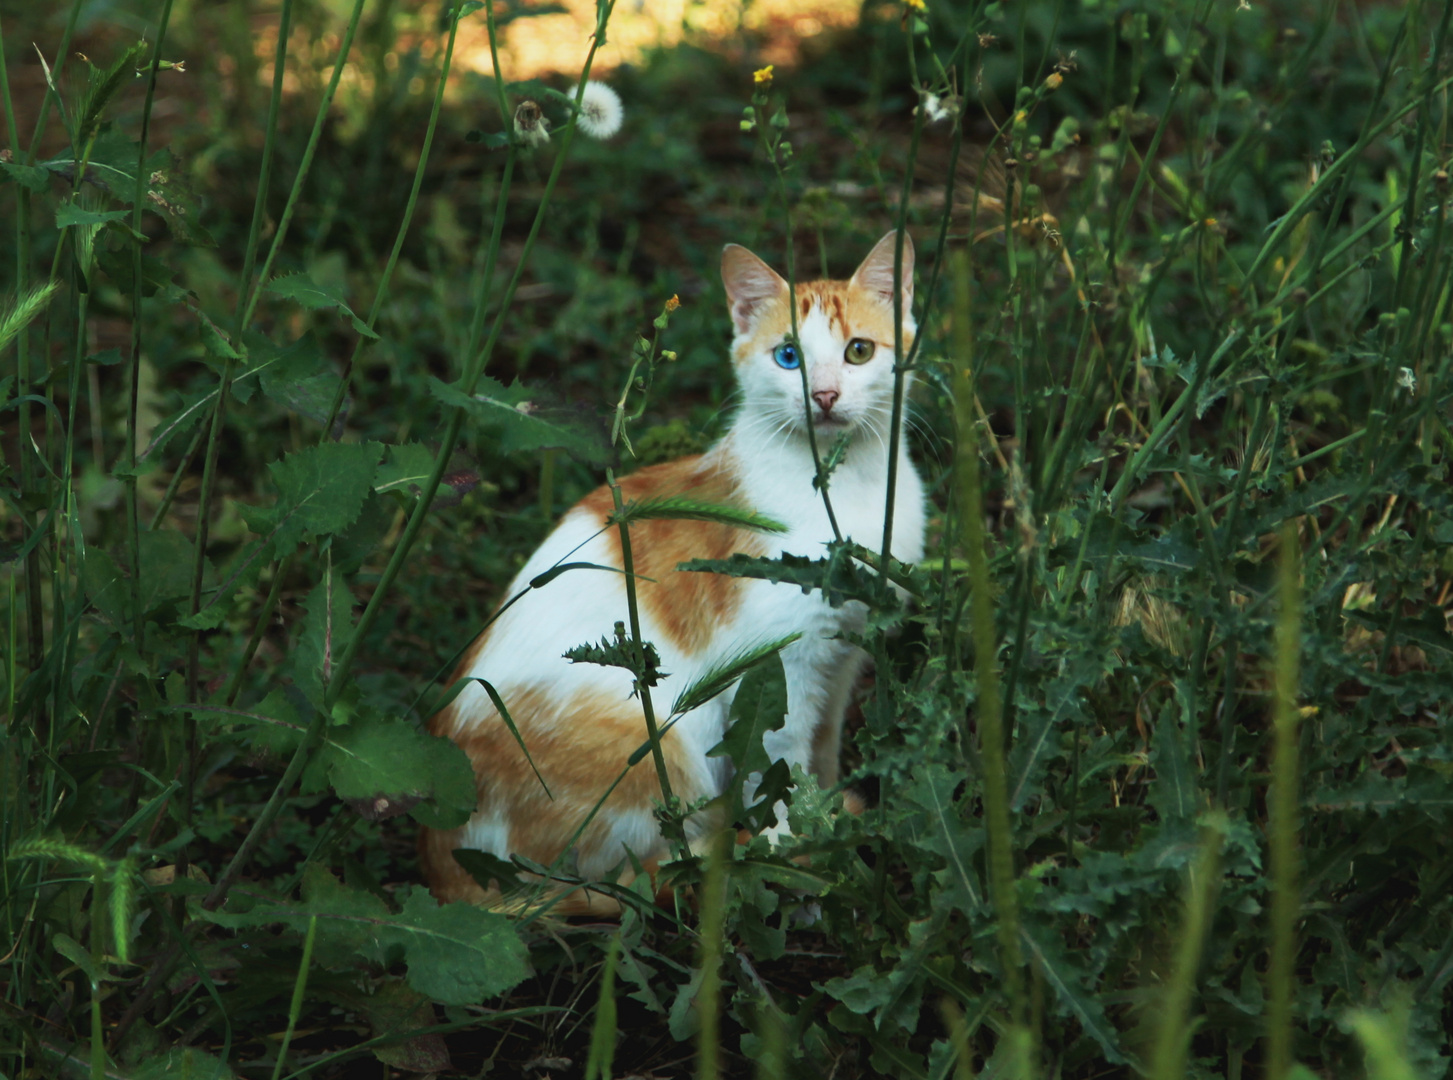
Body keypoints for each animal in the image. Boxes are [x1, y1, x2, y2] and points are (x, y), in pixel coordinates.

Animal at [415, 234, 924, 912]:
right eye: (788, 357)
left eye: (859, 351)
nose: (824, 396)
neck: (849, 487)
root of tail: (447, 878)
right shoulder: (779, 665)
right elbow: (782, 766)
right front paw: (795, 839)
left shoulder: (840, 658)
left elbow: (823, 752)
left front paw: (826, 810)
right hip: (651, 745)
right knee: (643, 869)